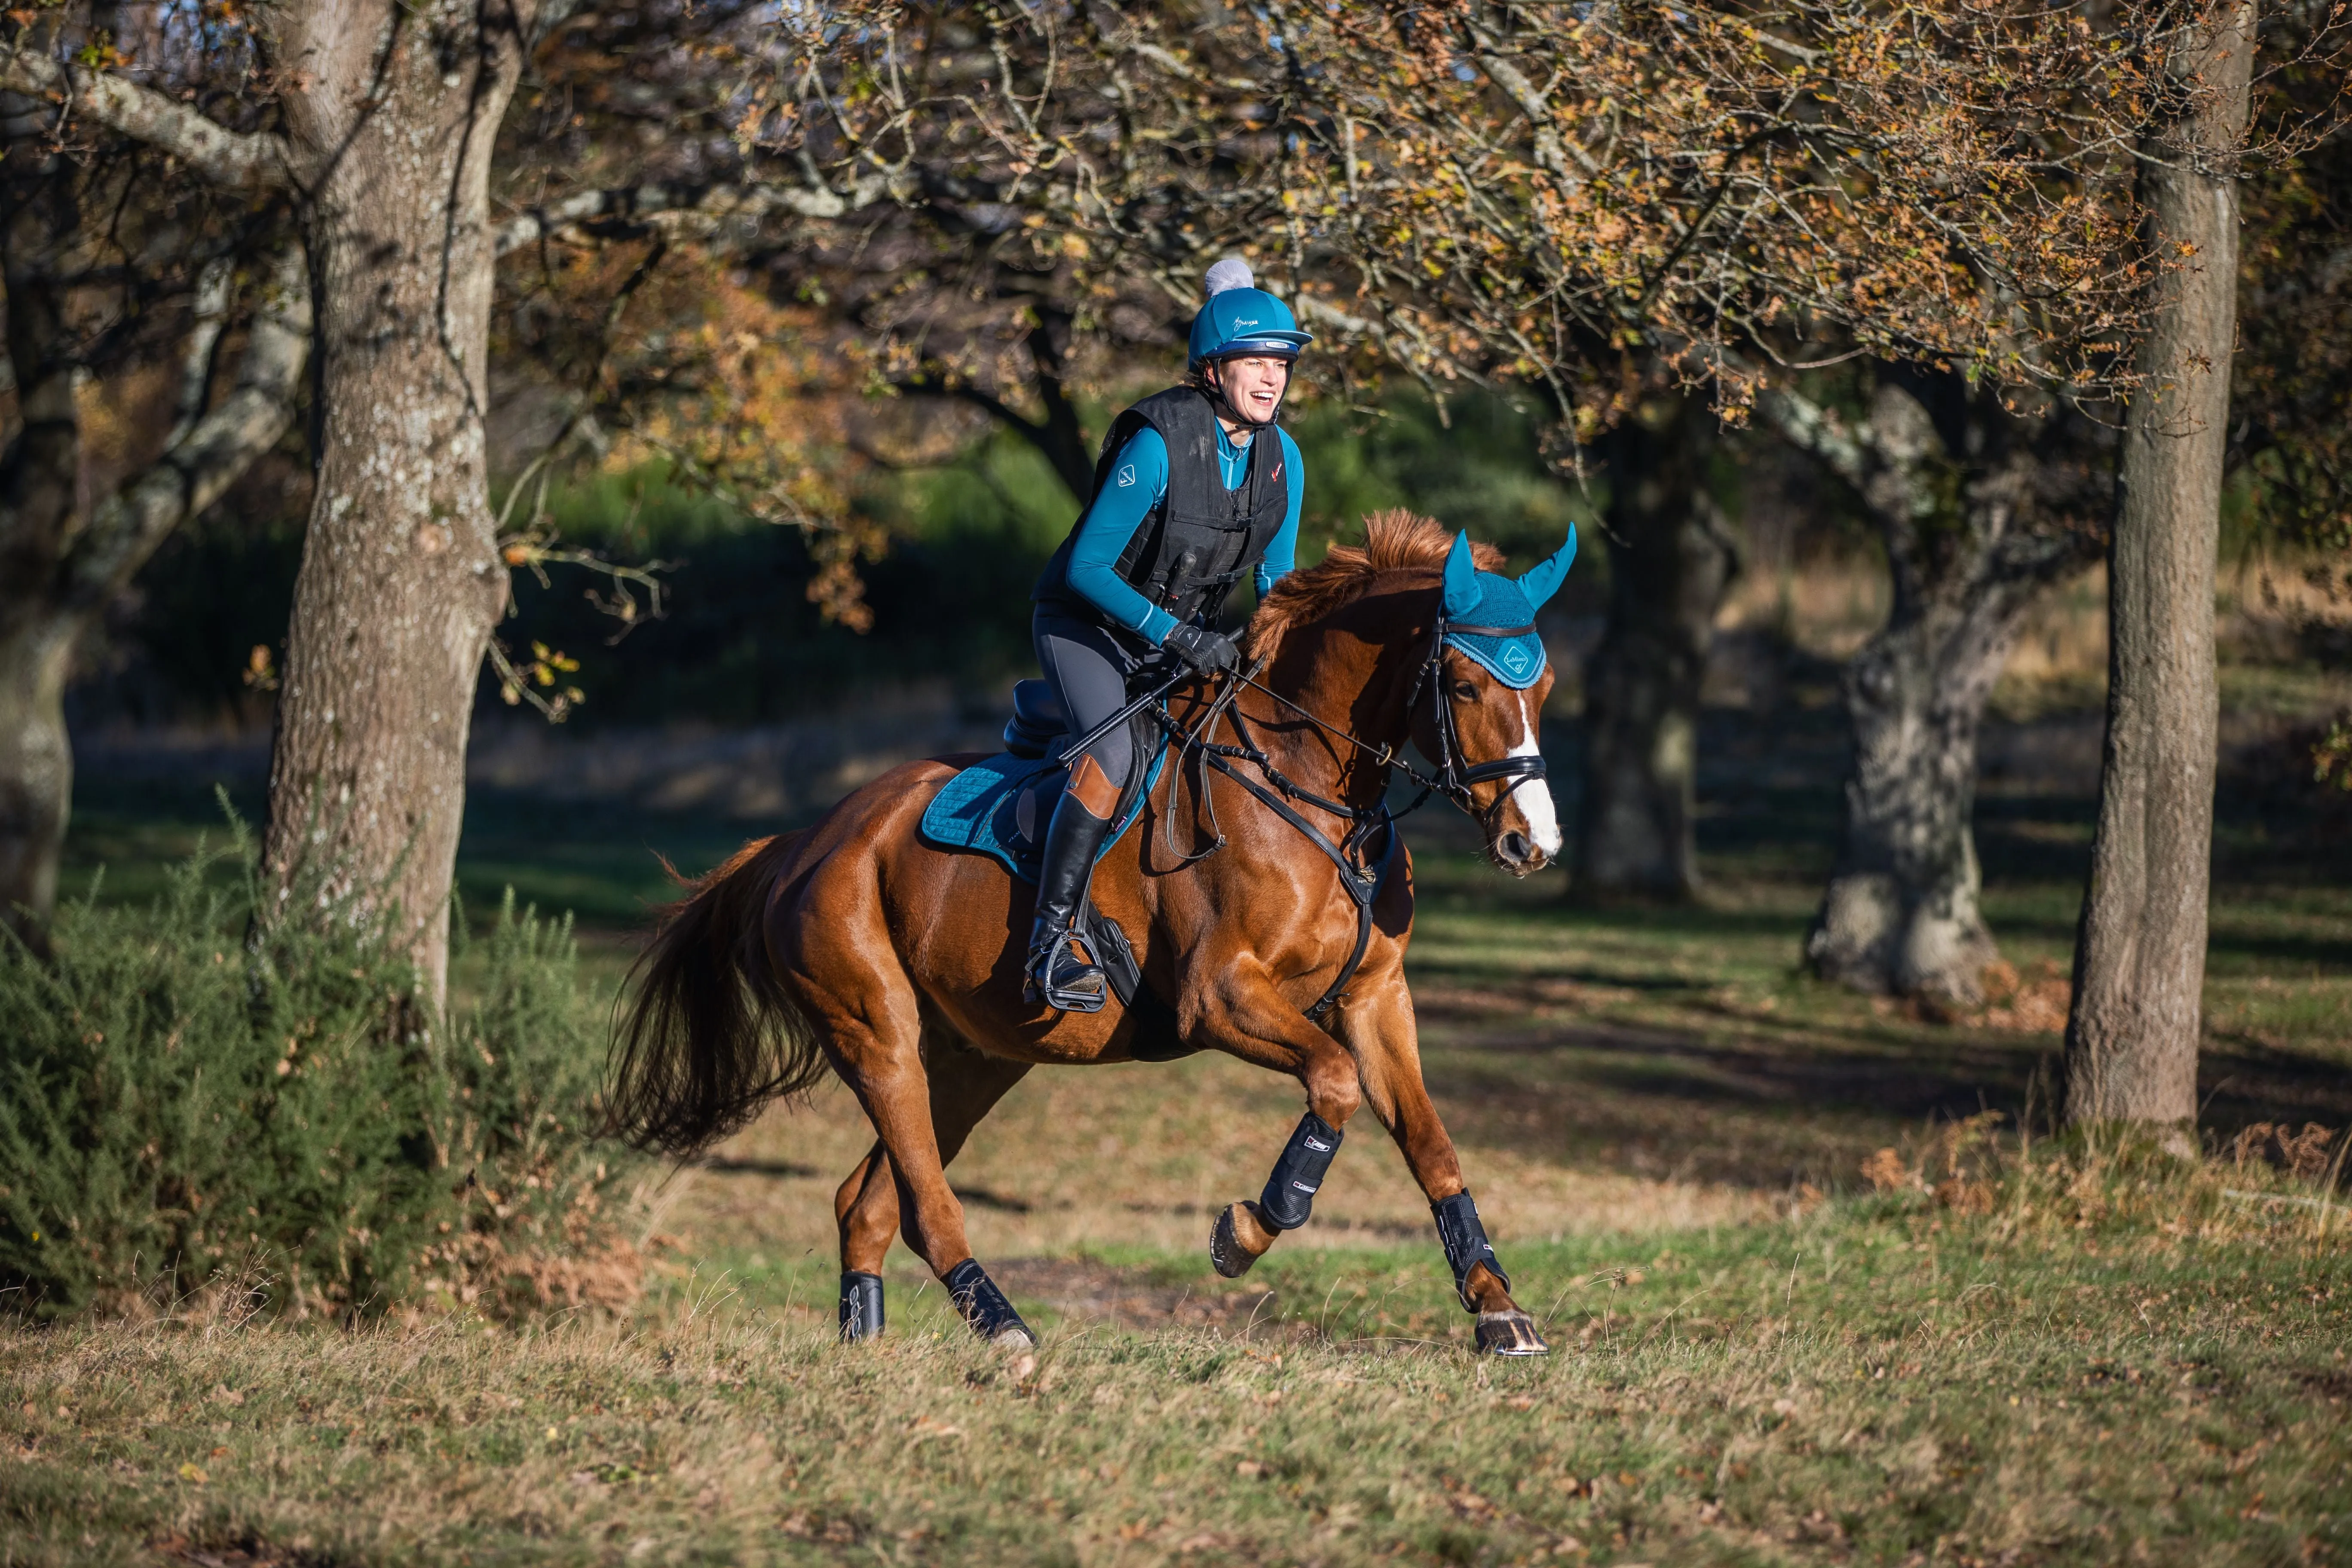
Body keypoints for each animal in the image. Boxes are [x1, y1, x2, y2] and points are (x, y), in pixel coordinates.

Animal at [616, 510, 1580, 1354]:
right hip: (874, 1031)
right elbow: (1335, 1084)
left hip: (971, 1058)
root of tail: (805, 840)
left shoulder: (1377, 997)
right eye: (1463, 685)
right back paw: (1007, 1331)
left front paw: (1499, 1310)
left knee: (870, 1200)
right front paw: (1247, 1229)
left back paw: (869, 1341)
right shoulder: (1218, 997)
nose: (1533, 843)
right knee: (923, 1202)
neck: (1307, 786)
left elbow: (1430, 1143)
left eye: (1543, 688)